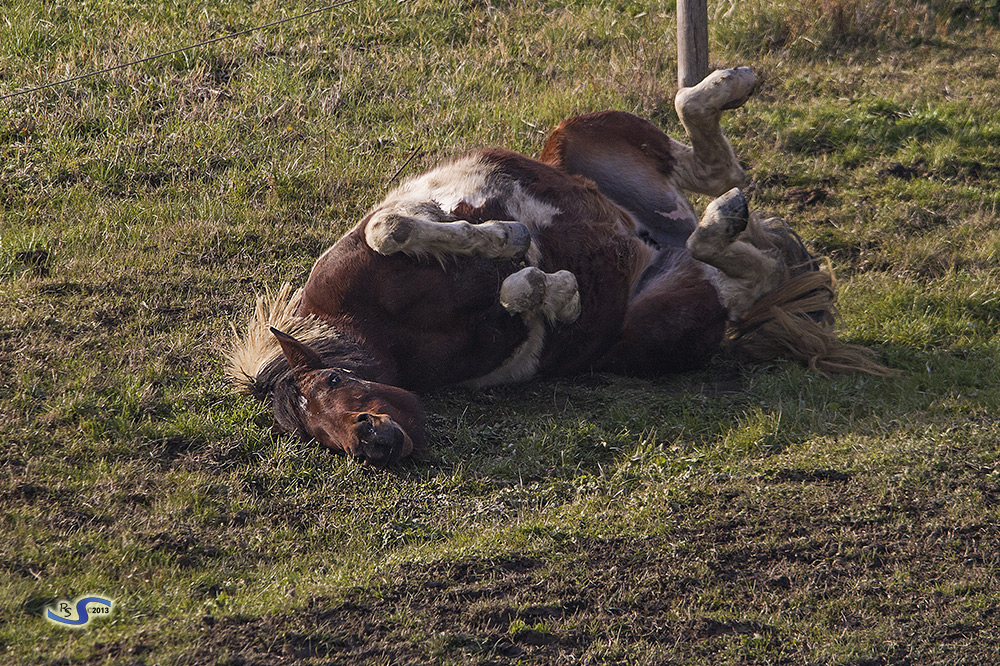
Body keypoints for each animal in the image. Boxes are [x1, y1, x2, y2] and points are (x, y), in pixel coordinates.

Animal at [225, 67, 884, 462]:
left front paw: (505, 238)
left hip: (581, 138)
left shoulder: (397, 221)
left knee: (709, 157)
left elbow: (392, 230)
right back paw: (720, 219)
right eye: (312, 433)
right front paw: (556, 289)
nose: (372, 443)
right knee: (733, 239)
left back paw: (730, 89)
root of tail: (662, 237)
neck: (379, 326)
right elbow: (524, 295)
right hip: (668, 315)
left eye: (333, 383)